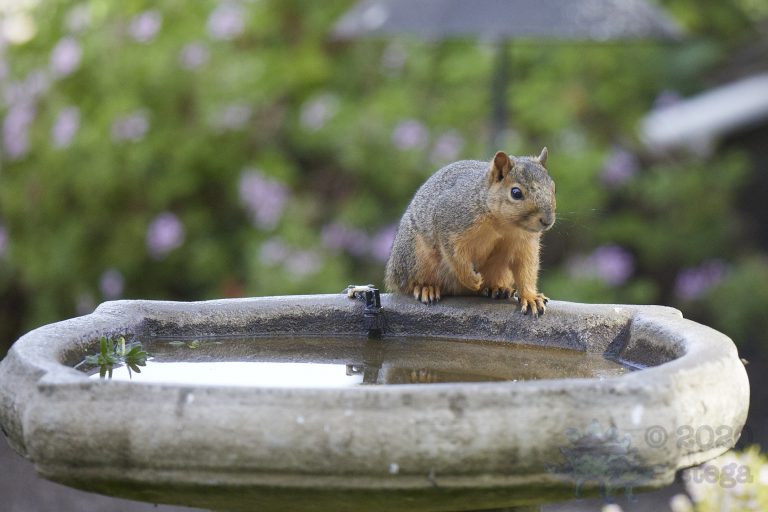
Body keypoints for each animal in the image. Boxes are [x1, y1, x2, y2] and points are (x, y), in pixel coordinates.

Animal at [384, 148, 555, 316]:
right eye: (516, 193)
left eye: (553, 188)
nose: (547, 220)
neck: (504, 224)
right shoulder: (449, 220)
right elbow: (455, 256)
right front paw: (471, 279)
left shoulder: (525, 243)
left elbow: (526, 269)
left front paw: (531, 297)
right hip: (415, 256)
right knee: (409, 283)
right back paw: (426, 287)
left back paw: (497, 288)